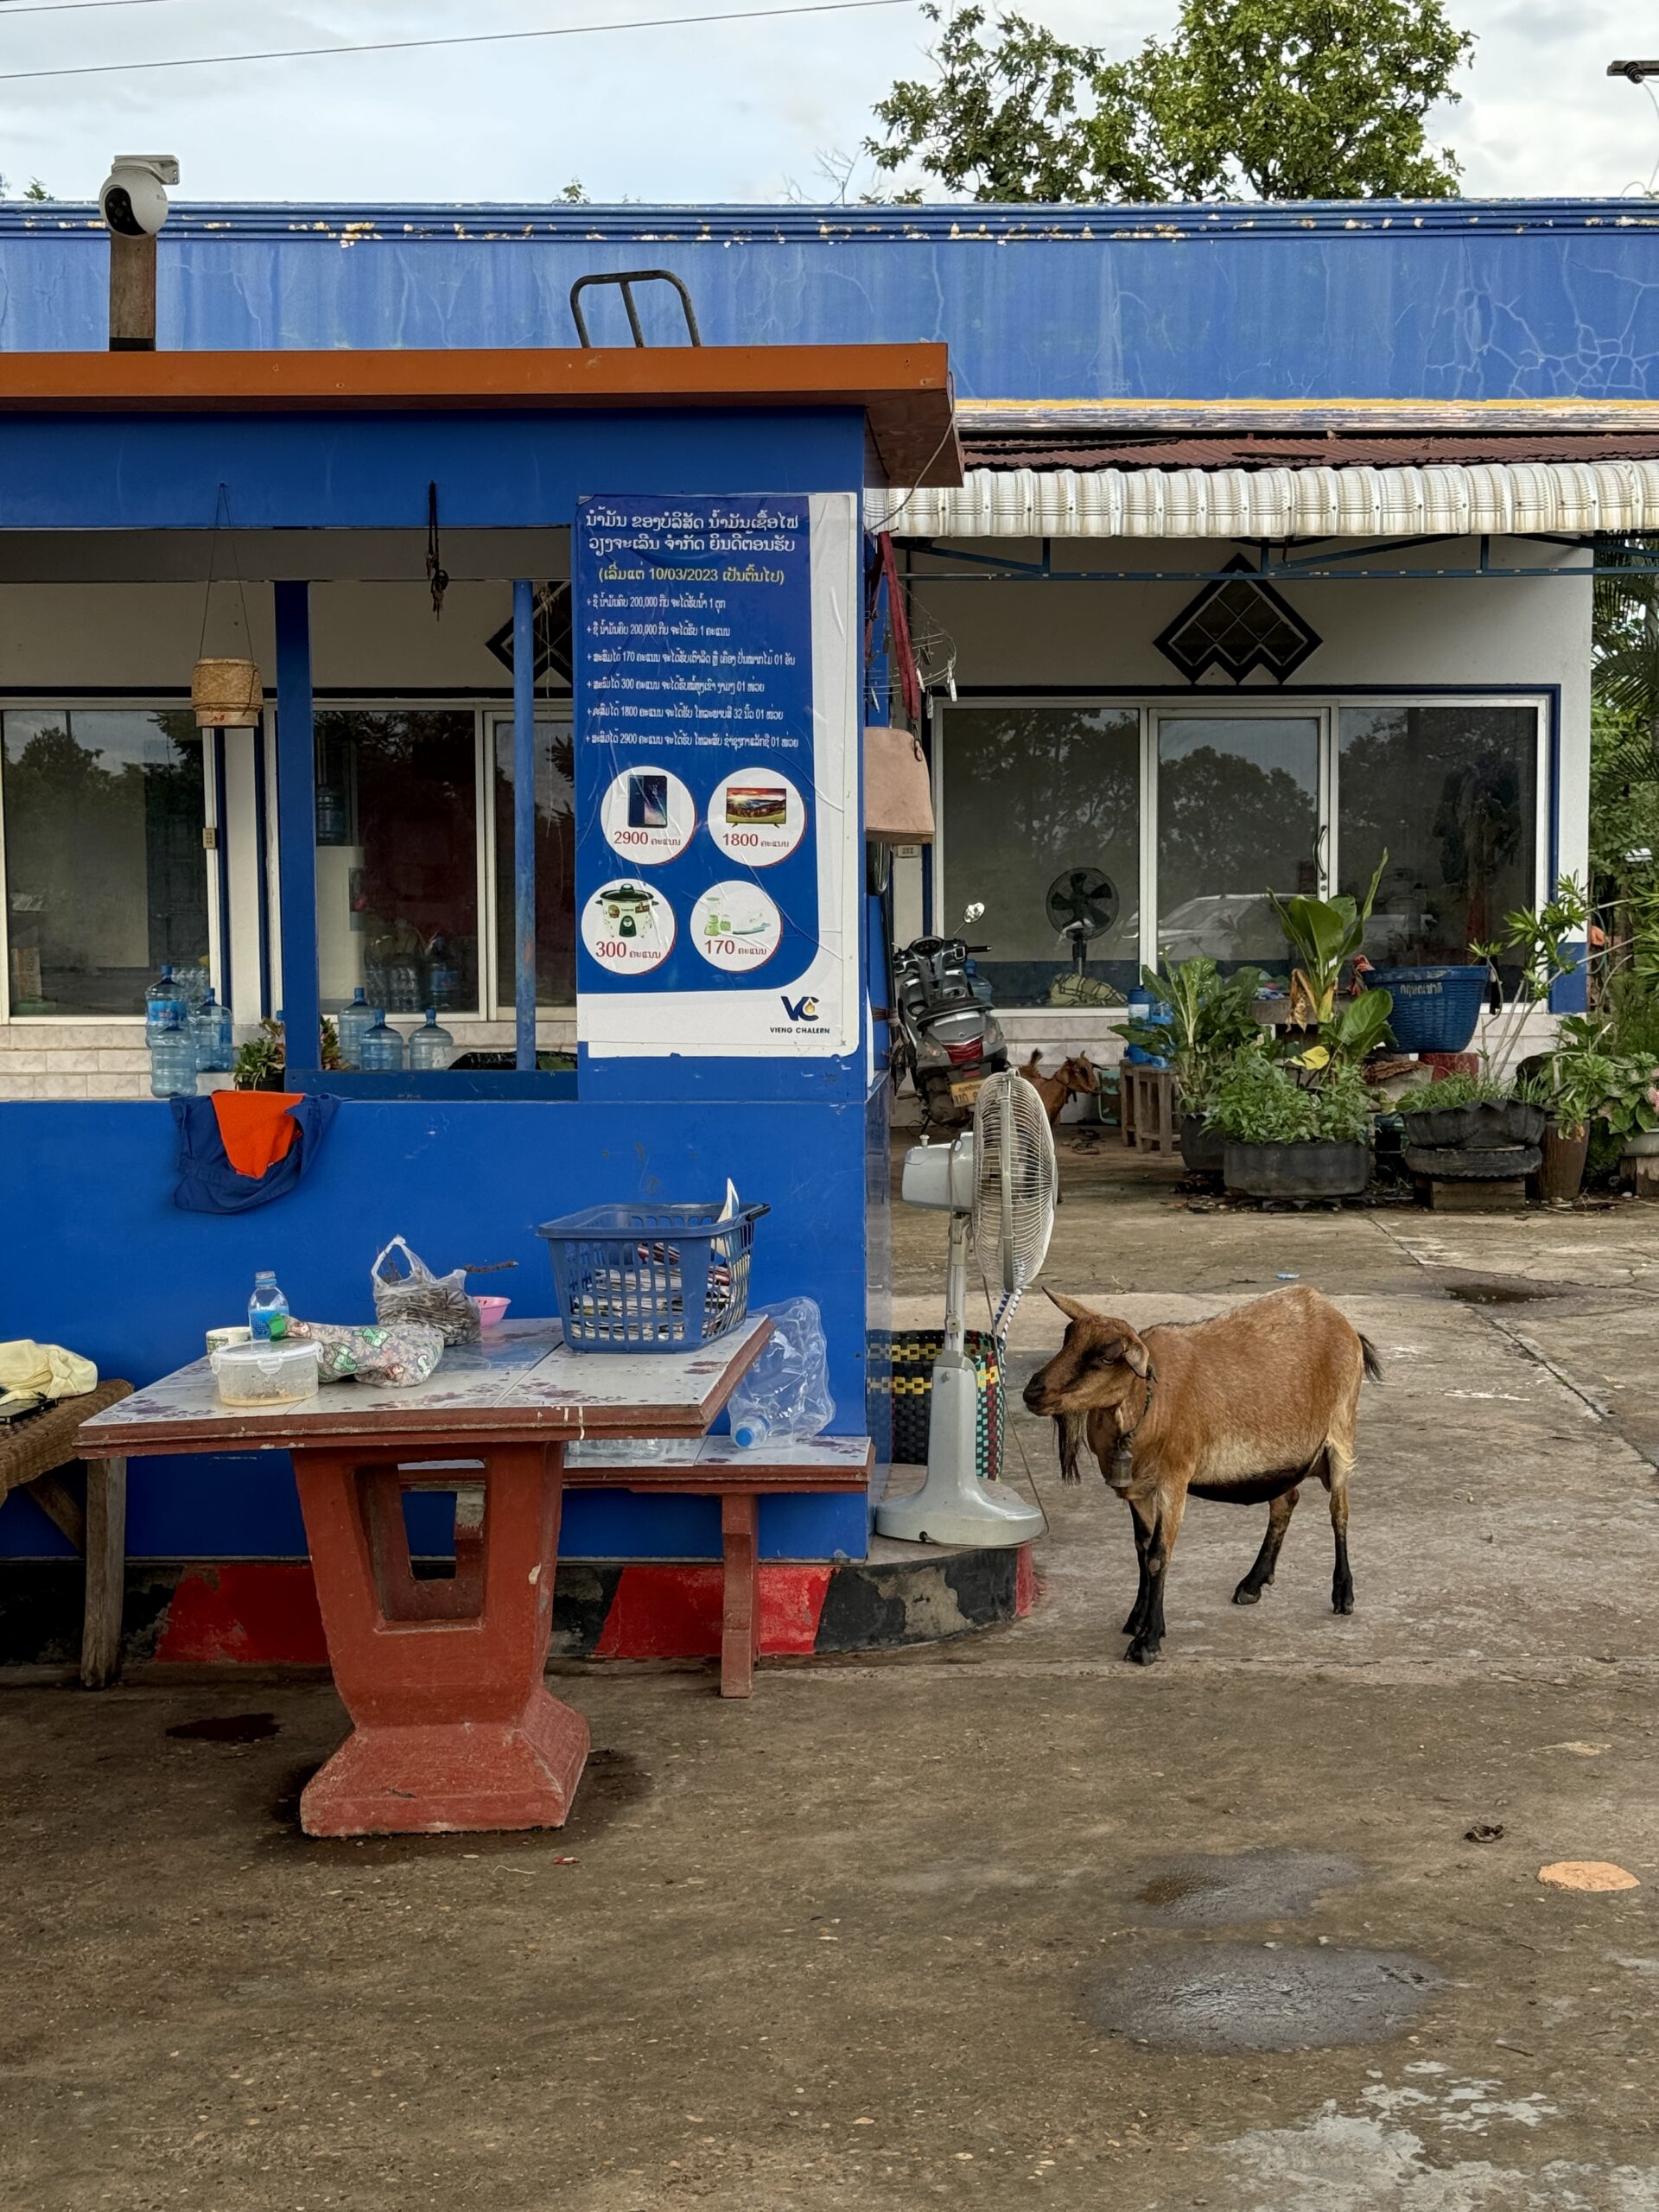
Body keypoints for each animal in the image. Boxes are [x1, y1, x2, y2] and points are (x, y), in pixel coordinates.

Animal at [1021, 1292, 1380, 1663]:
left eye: (1106, 1357)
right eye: (1067, 1340)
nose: (1033, 1392)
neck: (1150, 1400)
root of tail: (1342, 1323)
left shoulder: (1174, 1480)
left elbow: (1157, 1555)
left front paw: (1148, 1642)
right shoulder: (1139, 1489)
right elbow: (1141, 1547)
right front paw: (1136, 1620)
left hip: (1340, 1433)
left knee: (1339, 1512)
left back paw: (1343, 1594)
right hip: (1283, 1459)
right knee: (1285, 1503)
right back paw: (1252, 1584)